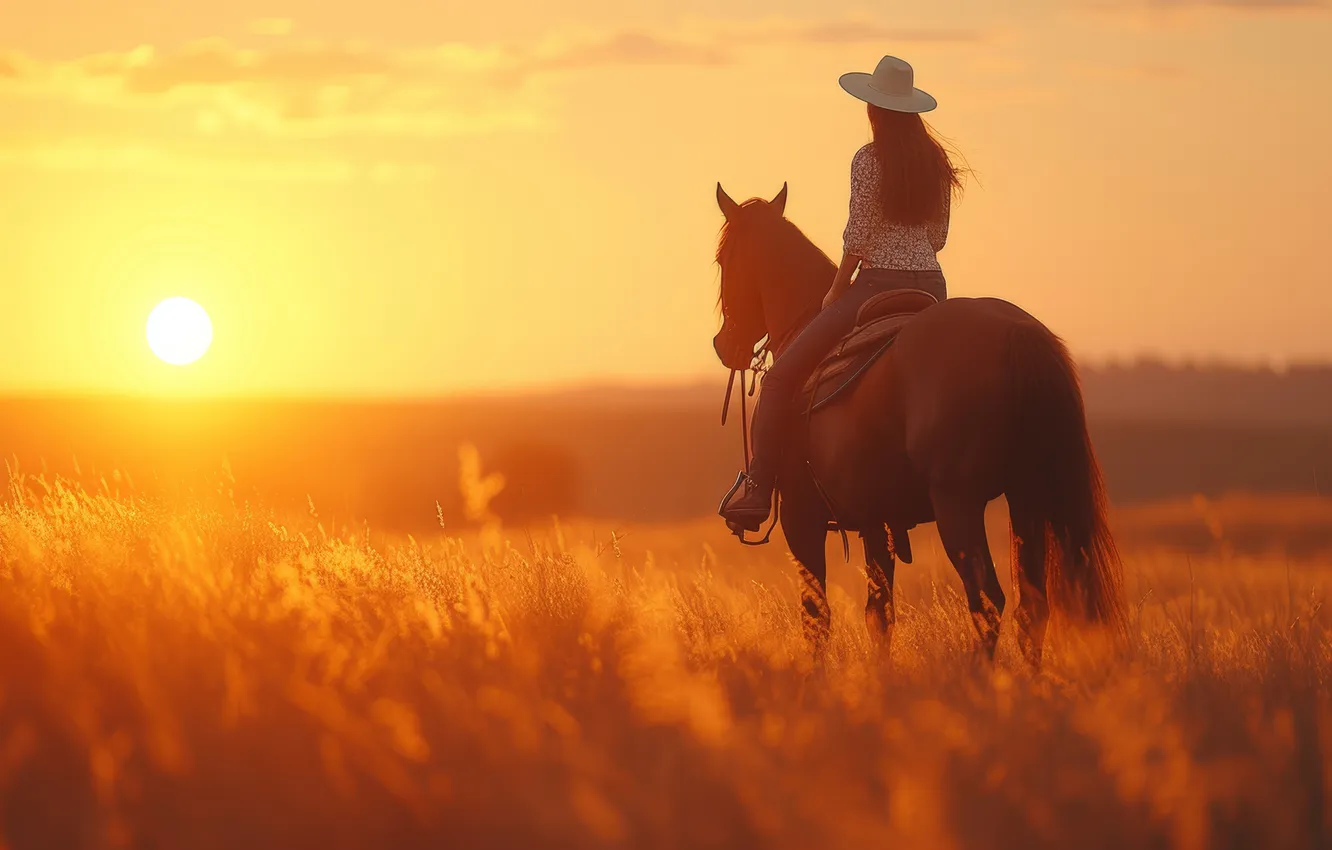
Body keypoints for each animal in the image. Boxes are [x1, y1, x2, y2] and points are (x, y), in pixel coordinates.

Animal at [712, 182, 1126, 665]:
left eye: (723, 261)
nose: (724, 344)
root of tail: (1016, 333)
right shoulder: (874, 520)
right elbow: (879, 614)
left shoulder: (802, 517)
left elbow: (816, 617)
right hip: (1027, 498)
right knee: (1032, 606)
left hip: (958, 505)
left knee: (988, 600)